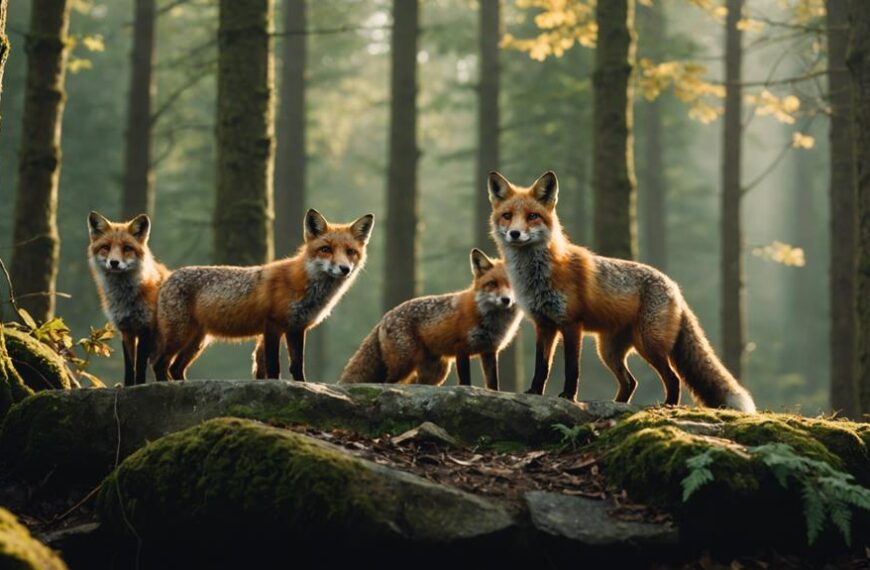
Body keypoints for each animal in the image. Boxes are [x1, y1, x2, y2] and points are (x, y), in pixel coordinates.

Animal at [87, 211, 170, 386]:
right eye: (106, 247)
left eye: (127, 248)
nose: (114, 262)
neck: (126, 300)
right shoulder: (125, 330)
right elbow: (129, 367)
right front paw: (128, 385)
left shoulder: (146, 328)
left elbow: (139, 366)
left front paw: (139, 385)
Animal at [153, 209, 374, 381]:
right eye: (326, 249)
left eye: (351, 252)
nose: (344, 269)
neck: (306, 287)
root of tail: (168, 277)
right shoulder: (273, 326)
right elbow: (273, 366)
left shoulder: (296, 328)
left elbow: (297, 366)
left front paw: (303, 385)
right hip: (180, 335)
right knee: (160, 365)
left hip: (196, 341)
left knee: (175, 368)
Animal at [339, 249, 522, 389]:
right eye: (492, 284)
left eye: (512, 285)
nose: (506, 300)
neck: (491, 319)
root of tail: (384, 317)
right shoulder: (461, 348)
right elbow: (465, 382)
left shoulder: (490, 351)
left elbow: (493, 385)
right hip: (404, 365)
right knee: (387, 382)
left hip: (436, 373)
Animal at [487, 171, 756, 412]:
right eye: (507, 216)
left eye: (532, 216)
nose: (514, 233)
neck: (538, 275)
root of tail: (674, 287)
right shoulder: (544, 324)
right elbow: (541, 367)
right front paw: (533, 393)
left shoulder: (571, 323)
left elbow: (571, 369)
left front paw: (568, 397)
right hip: (609, 351)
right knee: (630, 382)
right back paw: (615, 405)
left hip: (649, 344)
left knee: (672, 378)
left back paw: (667, 406)